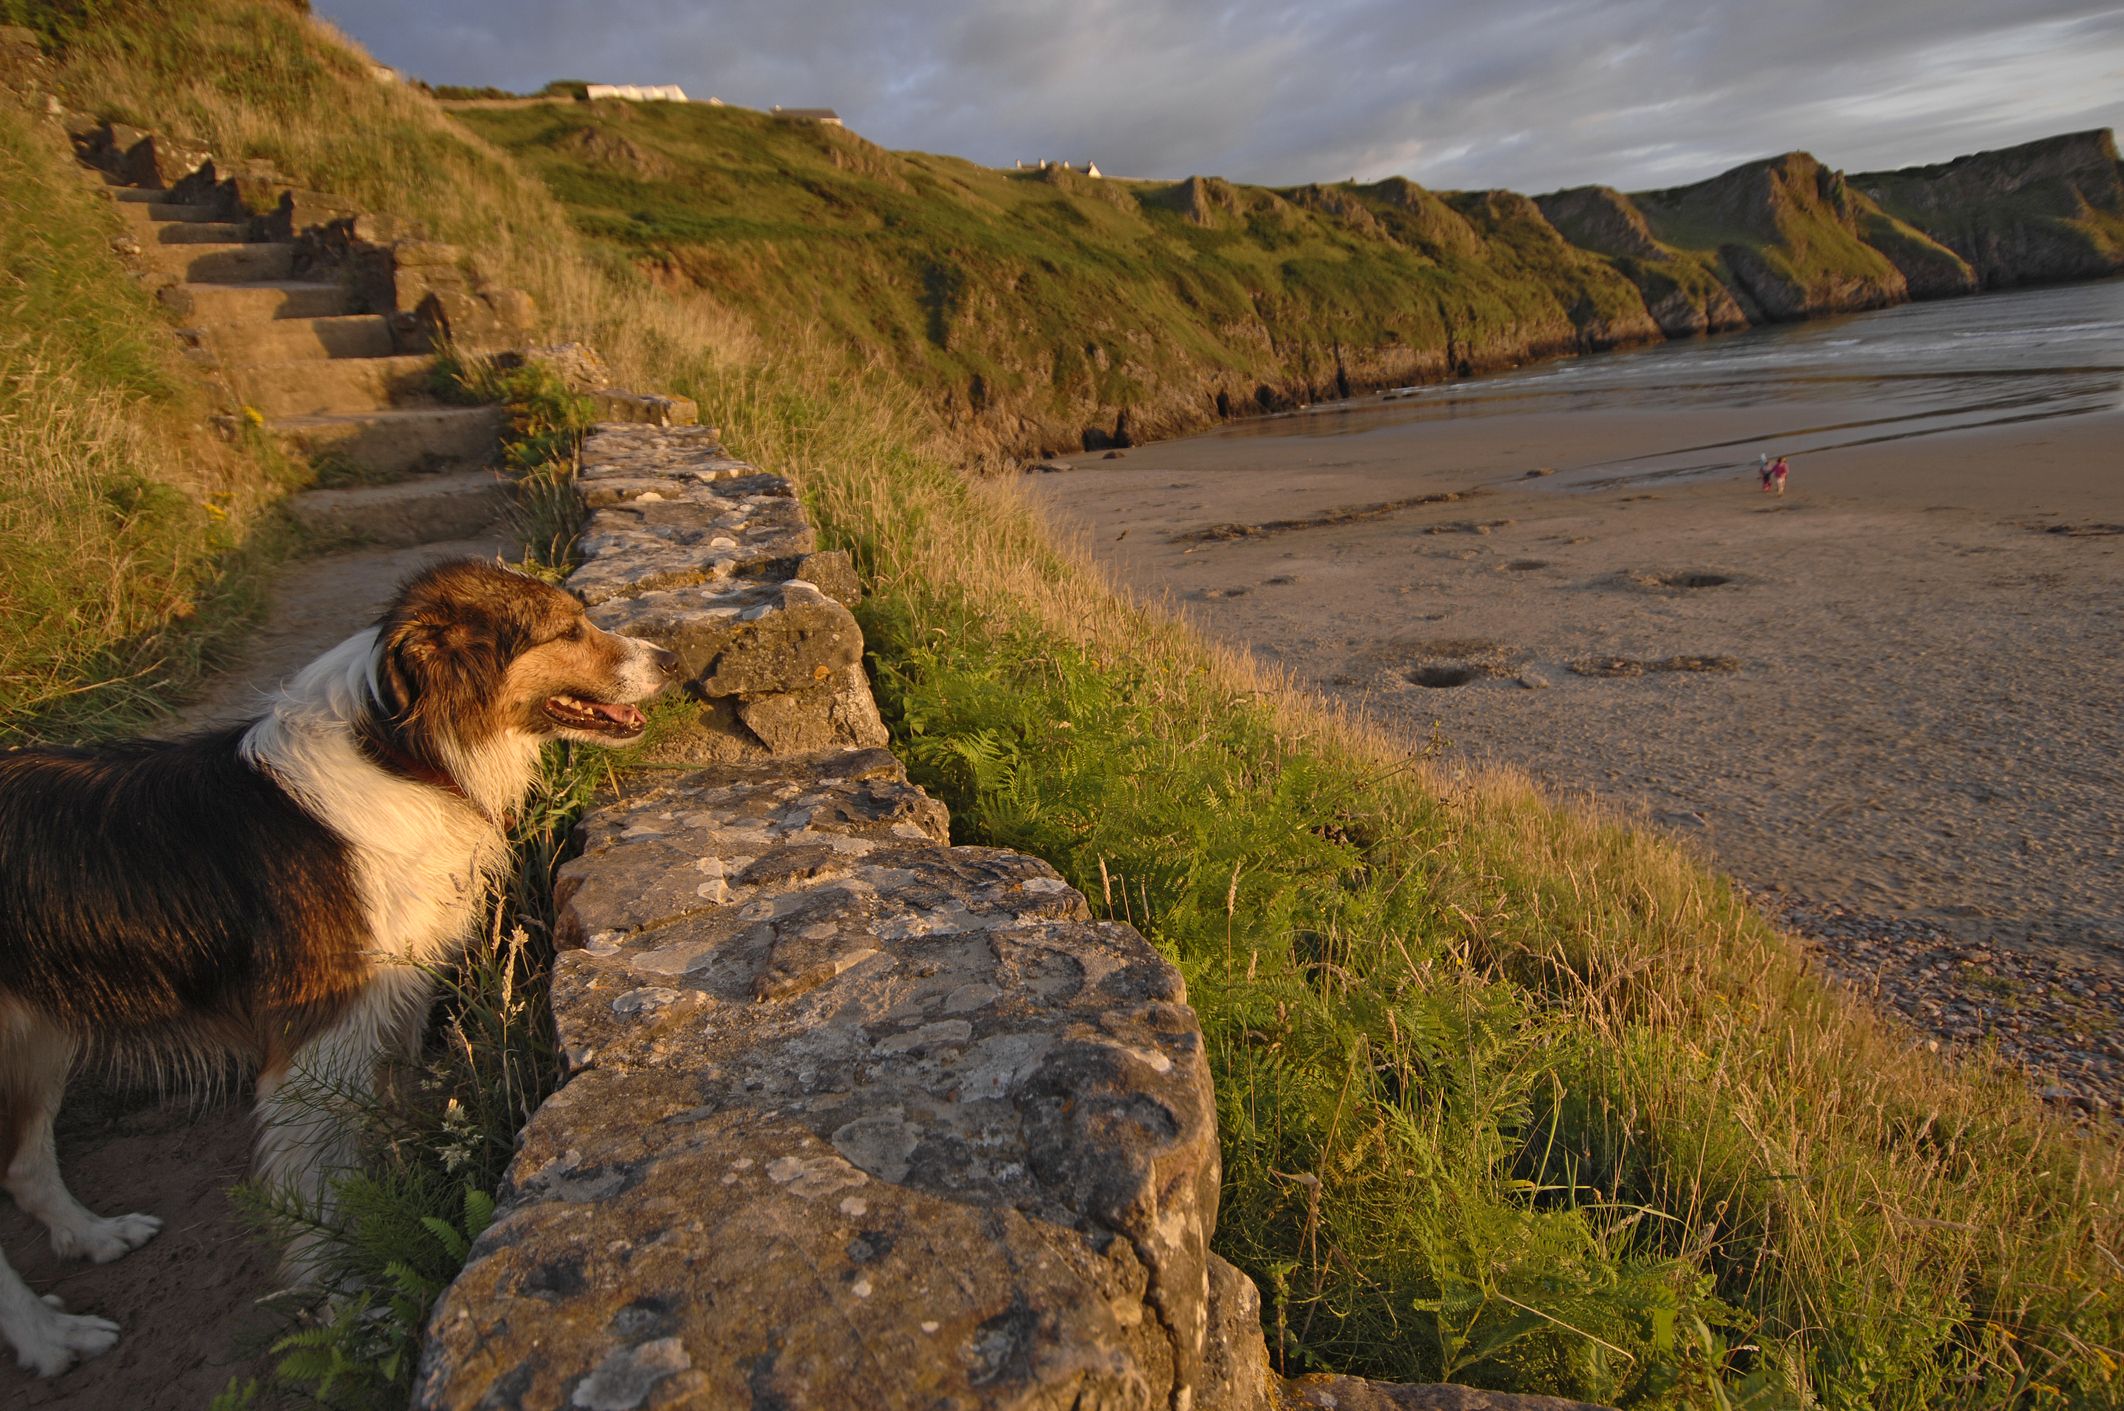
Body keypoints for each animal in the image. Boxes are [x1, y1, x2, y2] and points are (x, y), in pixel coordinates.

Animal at [0, 556, 675, 1368]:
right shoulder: (312, 1044)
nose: (671, 659)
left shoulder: (388, 1010)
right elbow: (322, 1186)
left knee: (24, 1164)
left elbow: (371, 1142)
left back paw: (91, 1235)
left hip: (35, 1042)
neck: (406, 755)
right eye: (568, 629)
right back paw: (48, 1336)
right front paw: (348, 1305)